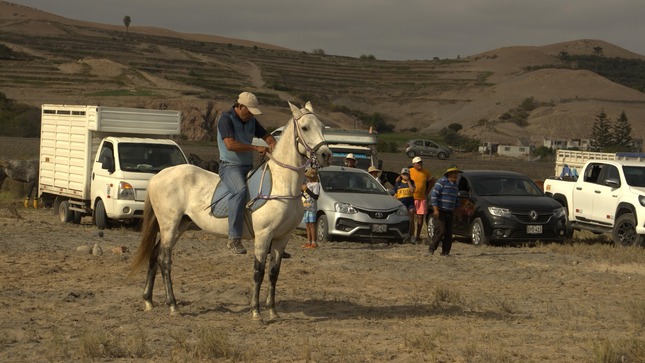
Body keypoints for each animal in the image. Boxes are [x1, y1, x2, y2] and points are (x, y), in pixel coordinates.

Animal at [131, 101, 332, 322]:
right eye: (304, 127)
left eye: (322, 127)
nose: (326, 155)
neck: (282, 184)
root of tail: (158, 176)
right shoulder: (264, 235)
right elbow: (258, 272)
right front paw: (256, 312)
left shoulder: (281, 238)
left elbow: (274, 273)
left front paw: (273, 311)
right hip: (169, 224)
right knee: (164, 260)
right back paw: (173, 305)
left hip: (180, 225)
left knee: (154, 255)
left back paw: (148, 301)